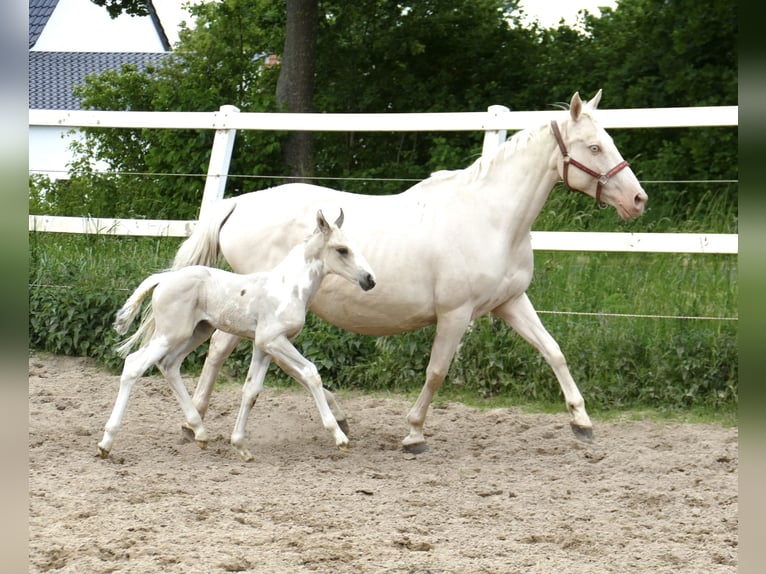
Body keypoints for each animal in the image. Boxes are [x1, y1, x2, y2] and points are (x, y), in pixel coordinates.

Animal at [98, 209, 376, 461]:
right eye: (342, 250)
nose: (370, 280)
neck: (289, 288)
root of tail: (164, 278)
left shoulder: (263, 346)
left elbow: (251, 390)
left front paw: (240, 446)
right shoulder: (273, 340)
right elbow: (311, 373)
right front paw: (340, 437)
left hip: (196, 332)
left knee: (169, 365)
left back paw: (200, 433)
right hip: (170, 334)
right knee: (134, 365)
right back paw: (106, 443)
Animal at [166, 90, 648, 452]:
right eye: (594, 147)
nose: (638, 199)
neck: (491, 217)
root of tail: (238, 203)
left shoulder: (510, 302)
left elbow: (553, 351)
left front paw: (582, 422)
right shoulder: (455, 313)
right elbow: (436, 372)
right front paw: (414, 434)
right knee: (224, 350)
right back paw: (199, 422)